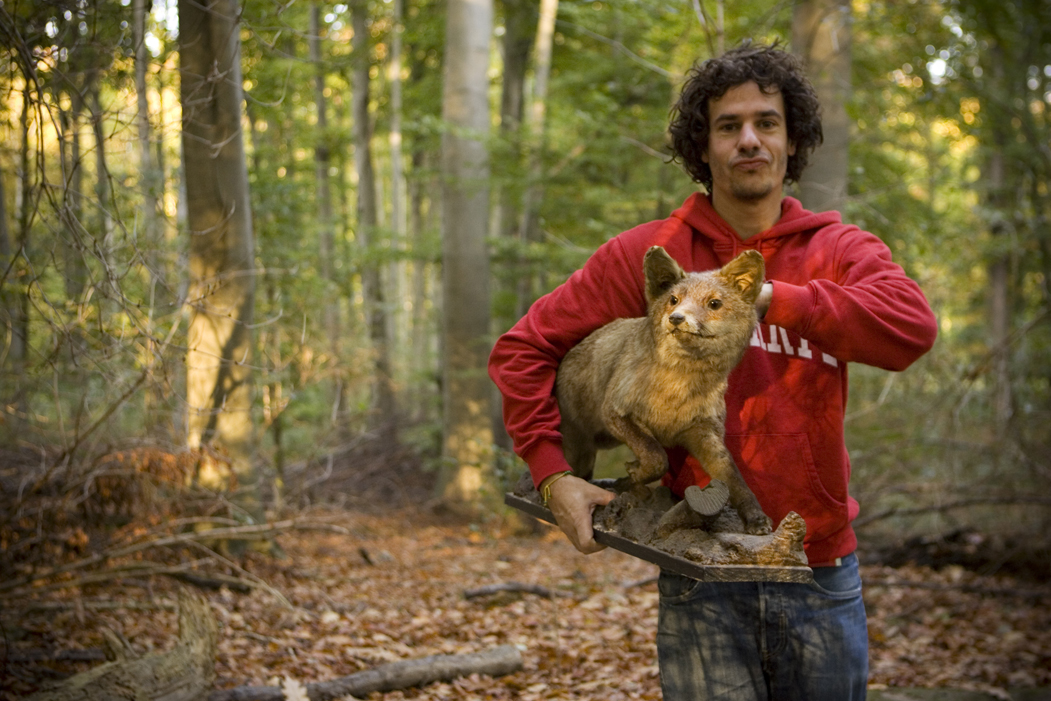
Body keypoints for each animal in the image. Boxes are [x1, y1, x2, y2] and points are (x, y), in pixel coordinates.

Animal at [555, 246, 772, 534]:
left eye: (714, 304)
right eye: (674, 300)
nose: (677, 318)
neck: (676, 391)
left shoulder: (704, 432)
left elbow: (734, 479)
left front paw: (755, 517)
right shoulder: (615, 411)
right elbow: (657, 456)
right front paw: (636, 472)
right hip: (579, 447)